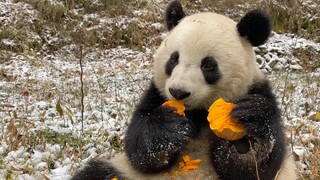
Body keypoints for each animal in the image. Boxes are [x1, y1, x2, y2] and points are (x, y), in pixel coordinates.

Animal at [71, 0, 296, 179]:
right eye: (174, 58)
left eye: (208, 65)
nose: (178, 92)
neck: (197, 112)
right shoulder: (156, 93)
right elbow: (139, 149)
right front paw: (169, 127)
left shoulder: (255, 88)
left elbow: (253, 168)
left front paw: (250, 127)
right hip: (124, 172)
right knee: (96, 172)